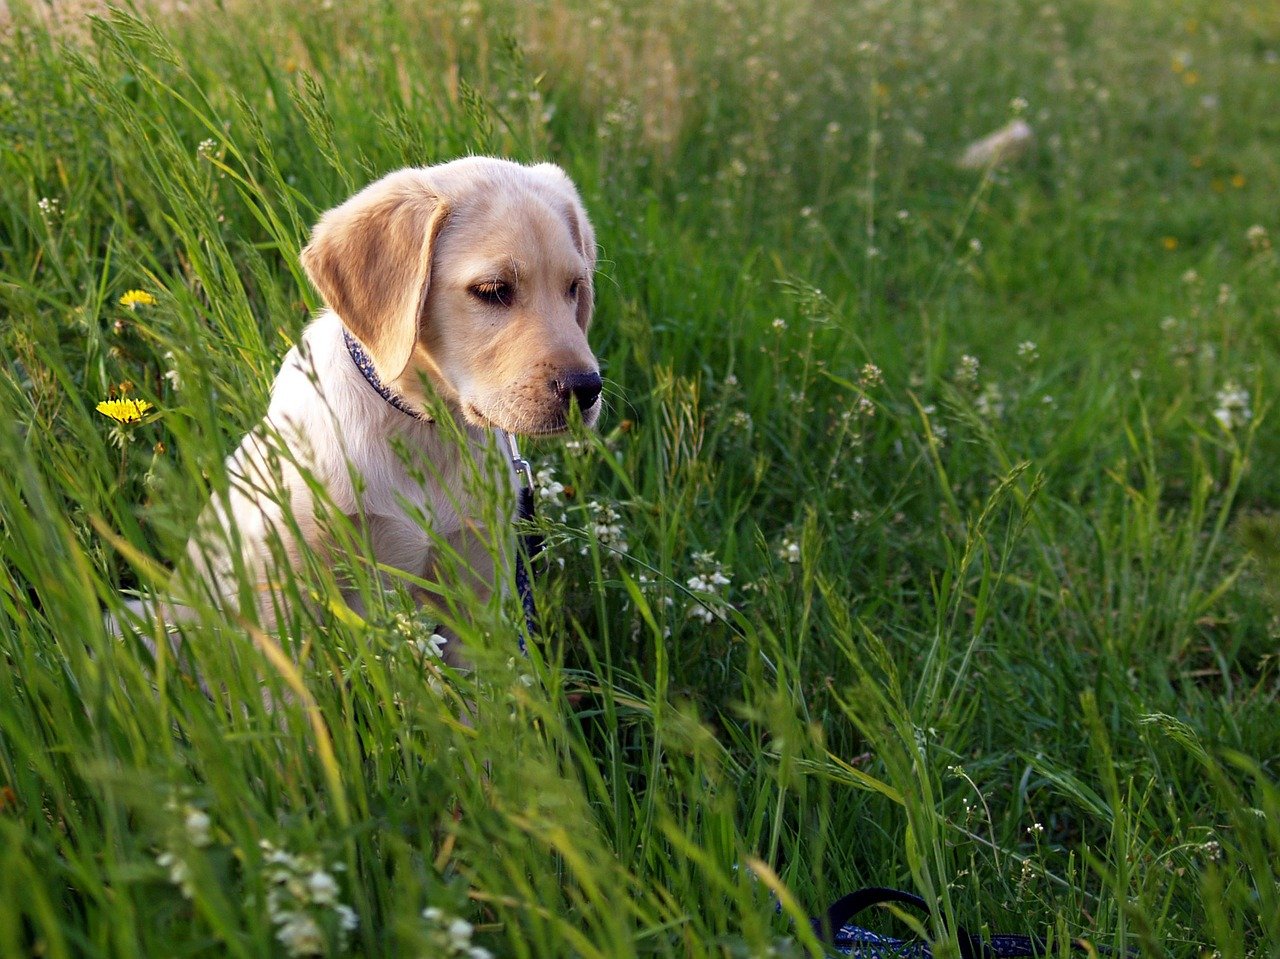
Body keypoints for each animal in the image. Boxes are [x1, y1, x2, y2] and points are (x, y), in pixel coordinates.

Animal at [172, 155, 601, 635]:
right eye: (493, 290)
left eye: (574, 288)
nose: (586, 388)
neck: (423, 428)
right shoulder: (284, 589)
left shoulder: (480, 593)